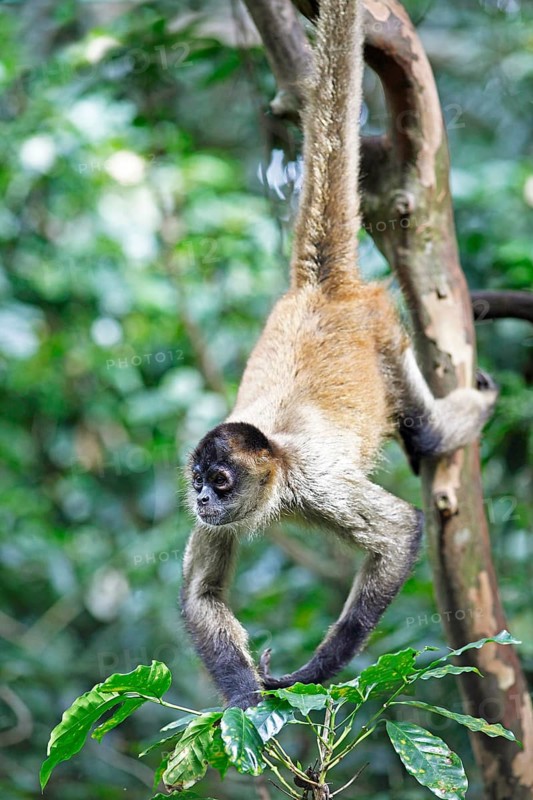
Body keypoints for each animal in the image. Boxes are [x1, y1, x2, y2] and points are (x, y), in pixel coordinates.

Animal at [180, 0, 498, 711]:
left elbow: (401, 529)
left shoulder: (315, 483)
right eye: (198, 481)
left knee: (426, 435)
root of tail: (322, 289)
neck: (276, 465)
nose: (203, 500)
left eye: (220, 481)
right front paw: (245, 704)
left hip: (384, 332)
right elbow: (202, 596)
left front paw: (312, 673)